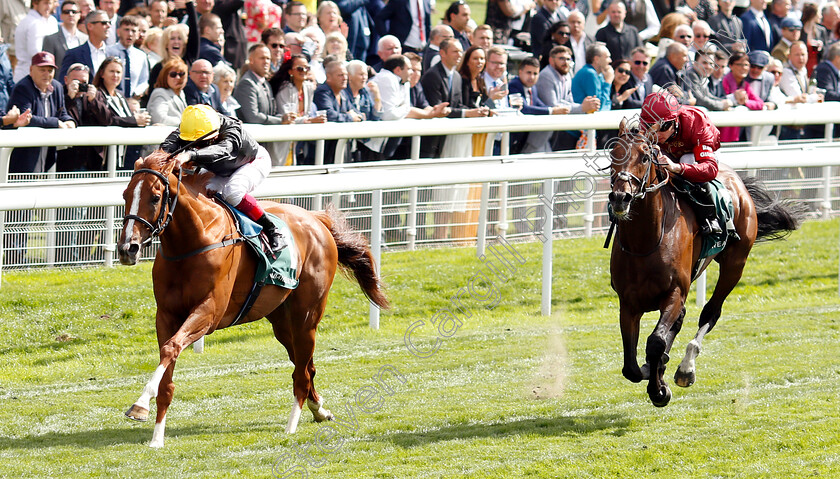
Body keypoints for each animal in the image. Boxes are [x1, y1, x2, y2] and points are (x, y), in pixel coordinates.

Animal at [115, 151, 390, 450]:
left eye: (155, 197)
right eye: (125, 194)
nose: (127, 248)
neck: (193, 241)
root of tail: (316, 220)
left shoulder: (208, 313)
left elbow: (171, 348)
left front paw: (140, 404)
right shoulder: (166, 315)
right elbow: (167, 366)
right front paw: (157, 436)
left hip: (307, 316)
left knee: (302, 373)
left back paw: (291, 425)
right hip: (281, 321)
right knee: (306, 365)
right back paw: (320, 410)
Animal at [608, 120, 804, 408]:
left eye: (644, 157)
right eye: (613, 155)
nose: (620, 198)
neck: (646, 242)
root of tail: (738, 181)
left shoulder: (675, 292)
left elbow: (655, 342)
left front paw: (659, 390)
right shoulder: (628, 302)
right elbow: (630, 367)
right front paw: (652, 371)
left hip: (735, 263)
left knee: (711, 312)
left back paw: (686, 368)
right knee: (680, 321)